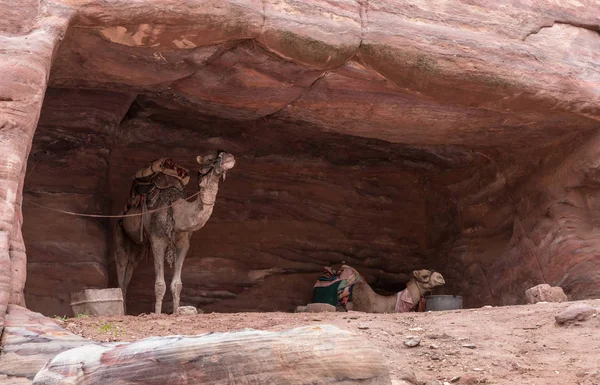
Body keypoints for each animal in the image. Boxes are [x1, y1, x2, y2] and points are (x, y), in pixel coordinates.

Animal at [113, 150, 236, 312]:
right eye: (210, 159)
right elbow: (160, 285)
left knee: (129, 270)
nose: (229, 157)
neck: (178, 213)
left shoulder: (183, 244)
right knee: (121, 267)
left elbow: (177, 284)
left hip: (138, 246)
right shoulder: (157, 241)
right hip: (119, 229)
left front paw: (176, 311)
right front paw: (157, 314)